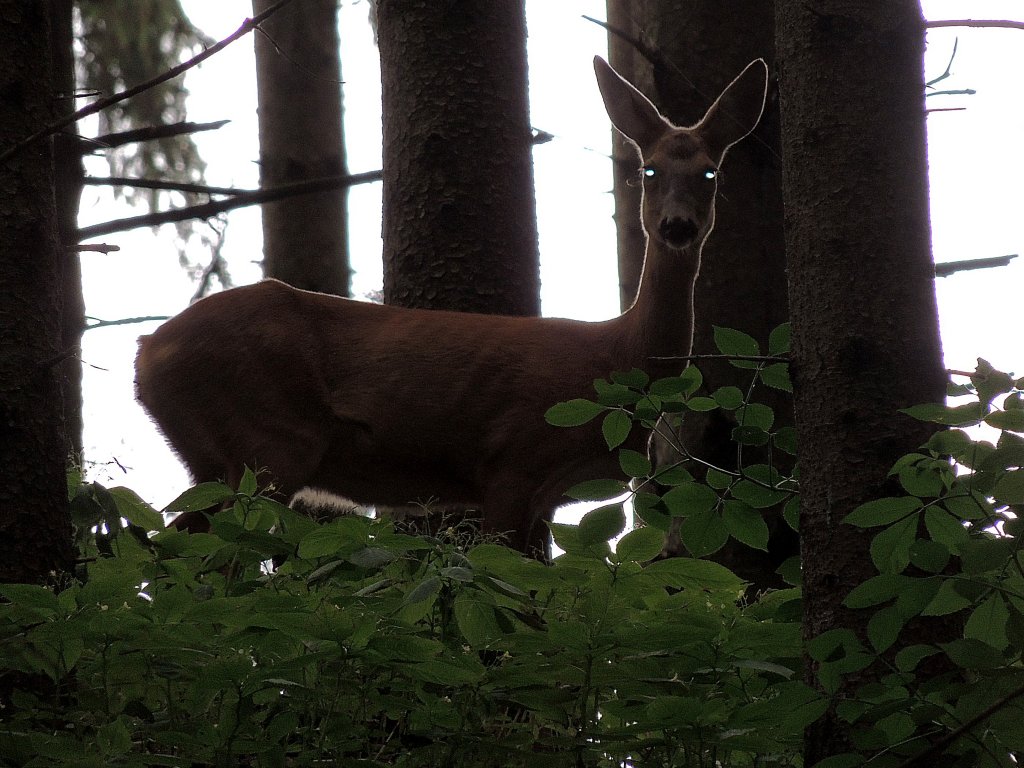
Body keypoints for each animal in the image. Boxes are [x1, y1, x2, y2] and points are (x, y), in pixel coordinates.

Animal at [132, 55, 765, 561]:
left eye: (710, 172)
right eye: (648, 170)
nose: (677, 226)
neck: (616, 354)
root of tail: (147, 352)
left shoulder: (544, 494)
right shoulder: (511, 458)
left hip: (221, 458)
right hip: (266, 440)